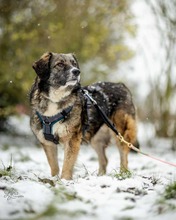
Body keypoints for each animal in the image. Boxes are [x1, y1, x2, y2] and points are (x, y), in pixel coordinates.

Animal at [29, 52, 138, 180]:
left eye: (74, 64)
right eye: (60, 64)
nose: (77, 71)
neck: (56, 100)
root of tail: (121, 85)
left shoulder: (72, 139)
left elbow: (67, 164)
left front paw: (64, 181)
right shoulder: (47, 143)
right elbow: (54, 166)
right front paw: (54, 180)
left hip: (120, 132)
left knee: (124, 156)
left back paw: (123, 174)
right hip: (97, 138)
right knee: (104, 160)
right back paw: (100, 177)